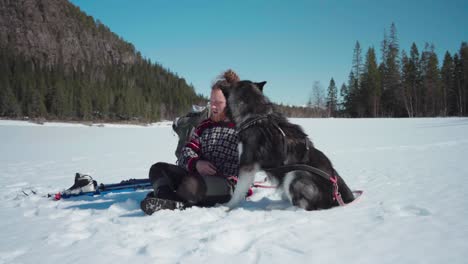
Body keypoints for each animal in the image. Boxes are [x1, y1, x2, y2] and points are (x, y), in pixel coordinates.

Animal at [220, 80, 354, 210]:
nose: (221, 85)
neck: (255, 116)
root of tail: (337, 195)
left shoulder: (247, 165)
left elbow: (237, 192)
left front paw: (227, 207)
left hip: (294, 174)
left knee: (302, 207)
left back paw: (277, 207)